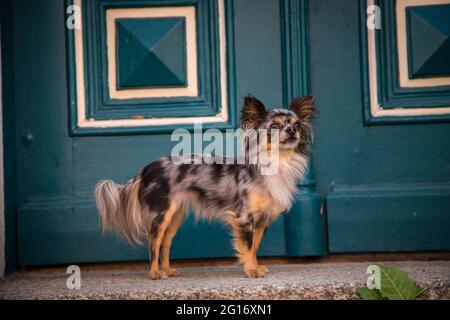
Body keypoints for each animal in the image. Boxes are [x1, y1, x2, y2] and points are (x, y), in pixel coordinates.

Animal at [93, 96, 314, 278]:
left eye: (297, 125)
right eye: (274, 126)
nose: (292, 130)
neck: (277, 163)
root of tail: (146, 169)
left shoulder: (262, 220)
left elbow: (255, 245)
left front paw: (255, 267)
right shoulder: (244, 217)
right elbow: (248, 245)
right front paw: (251, 270)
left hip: (175, 217)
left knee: (165, 243)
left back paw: (168, 270)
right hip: (161, 214)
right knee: (154, 242)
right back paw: (155, 273)